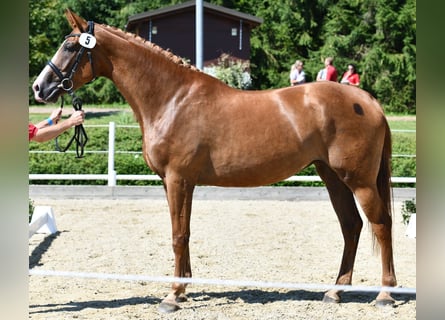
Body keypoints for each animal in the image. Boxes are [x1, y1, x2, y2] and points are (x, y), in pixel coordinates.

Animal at [33, 9, 396, 312]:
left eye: (70, 47)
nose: (39, 87)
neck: (172, 99)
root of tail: (368, 101)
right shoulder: (175, 182)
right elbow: (184, 232)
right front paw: (183, 289)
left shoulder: (178, 179)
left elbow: (178, 235)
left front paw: (172, 297)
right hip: (332, 176)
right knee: (351, 225)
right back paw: (335, 291)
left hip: (359, 180)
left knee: (380, 225)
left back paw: (385, 294)